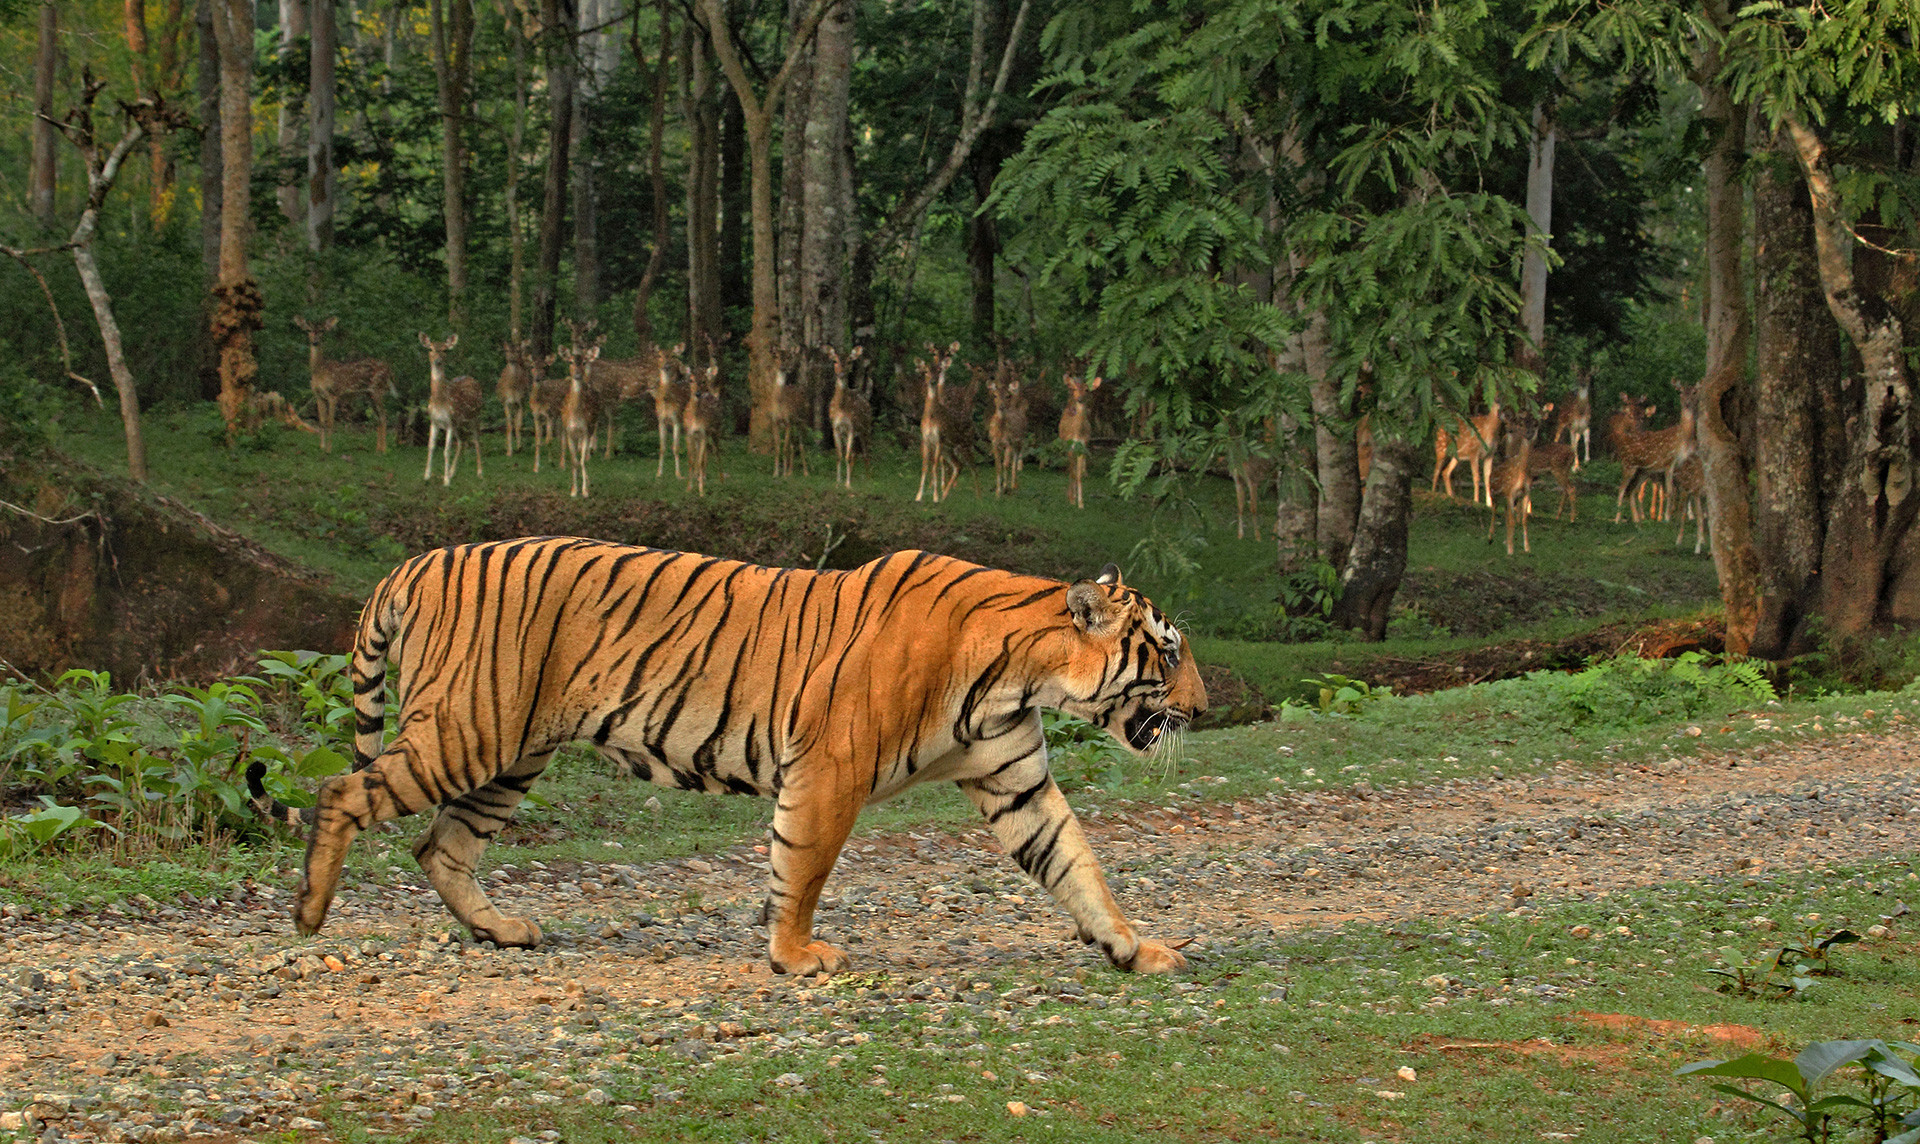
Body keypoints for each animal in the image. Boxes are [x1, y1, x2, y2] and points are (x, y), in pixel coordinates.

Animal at [263, 537, 1207, 976]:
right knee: (344, 791)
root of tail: (417, 562)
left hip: (509, 754)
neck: (1022, 673)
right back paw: (309, 914)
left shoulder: (1014, 781)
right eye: (1167, 652)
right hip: (466, 732)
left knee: (440, 844)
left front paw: (1136, 950)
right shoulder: (829, 769)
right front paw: (795, 957)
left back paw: (502, 930)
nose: (1203, 709)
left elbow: (1077, 864)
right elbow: (804, 866)